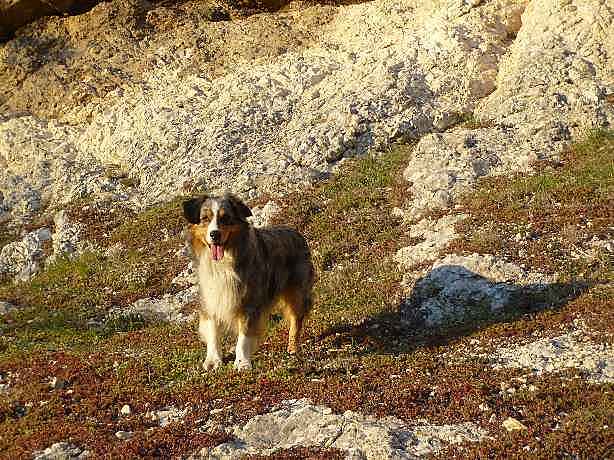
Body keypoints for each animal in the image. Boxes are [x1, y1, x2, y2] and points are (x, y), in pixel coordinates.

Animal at [182, 193, 318, 370]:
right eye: (205, 218)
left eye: (226, 218)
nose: (214, 234)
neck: (223, 263)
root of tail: (296, 233)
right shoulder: (210, 298)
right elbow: (212, 331)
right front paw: (213, 361)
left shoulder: (250, 302)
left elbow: (244, 337)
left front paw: (242, 363)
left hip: (297, 292)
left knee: (296, 320)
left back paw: (292, 349)